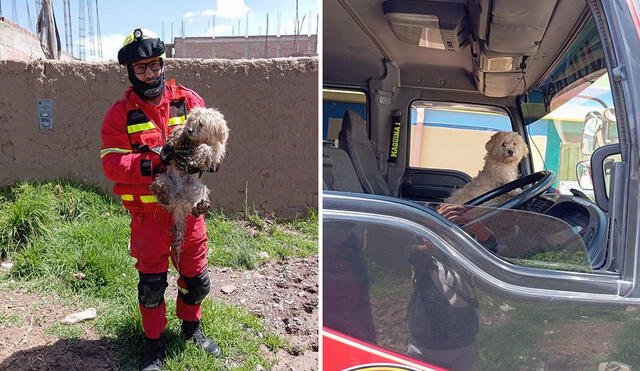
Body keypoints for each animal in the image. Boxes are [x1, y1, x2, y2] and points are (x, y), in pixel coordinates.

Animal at [150, 106, 230, 254]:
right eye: (191, 121)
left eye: (202, 124)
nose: (190, 131)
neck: (194, 142)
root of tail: (178, 199)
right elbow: (178, 132)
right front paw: (177, 136)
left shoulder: (215, 152)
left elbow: (207, 149)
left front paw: (197, 157)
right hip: (165, 178)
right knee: (161, 191)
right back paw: (160, 190)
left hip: (197, 188)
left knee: (193, 205)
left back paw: (200, 207)